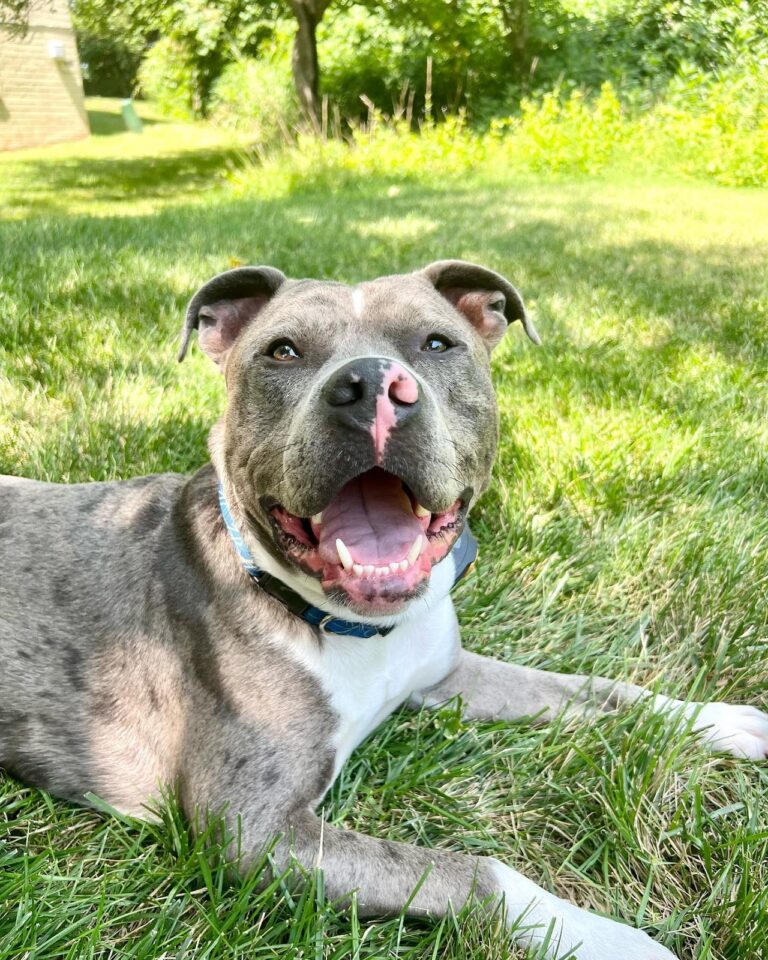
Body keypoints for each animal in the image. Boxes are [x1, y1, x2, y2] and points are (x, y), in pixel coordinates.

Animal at [1, 258, 768, 956]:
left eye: (436, 343)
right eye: (283, 351)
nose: (370, 384)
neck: (351, 628)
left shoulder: (446, 674)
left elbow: (603, 690)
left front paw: (718, 720)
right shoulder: (253, 827)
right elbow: (475, 872)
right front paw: (607, 936)